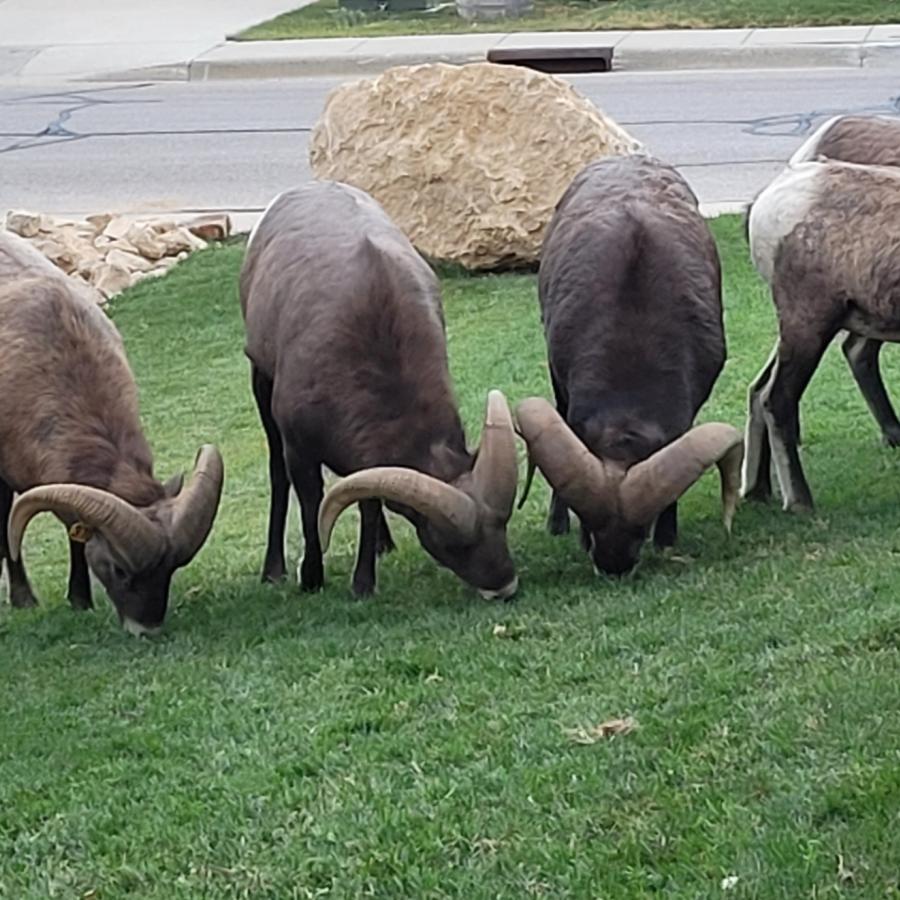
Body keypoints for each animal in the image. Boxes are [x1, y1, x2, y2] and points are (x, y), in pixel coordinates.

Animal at [239, 185, 520, 596]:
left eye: (503, 523)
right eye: (448, 542)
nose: (504, 586)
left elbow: (368, 504)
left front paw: (363, 581)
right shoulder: (299, 450)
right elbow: (309, 504)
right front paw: (311, 577)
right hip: (260, 379)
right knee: (278, 476)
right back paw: (273, 568)